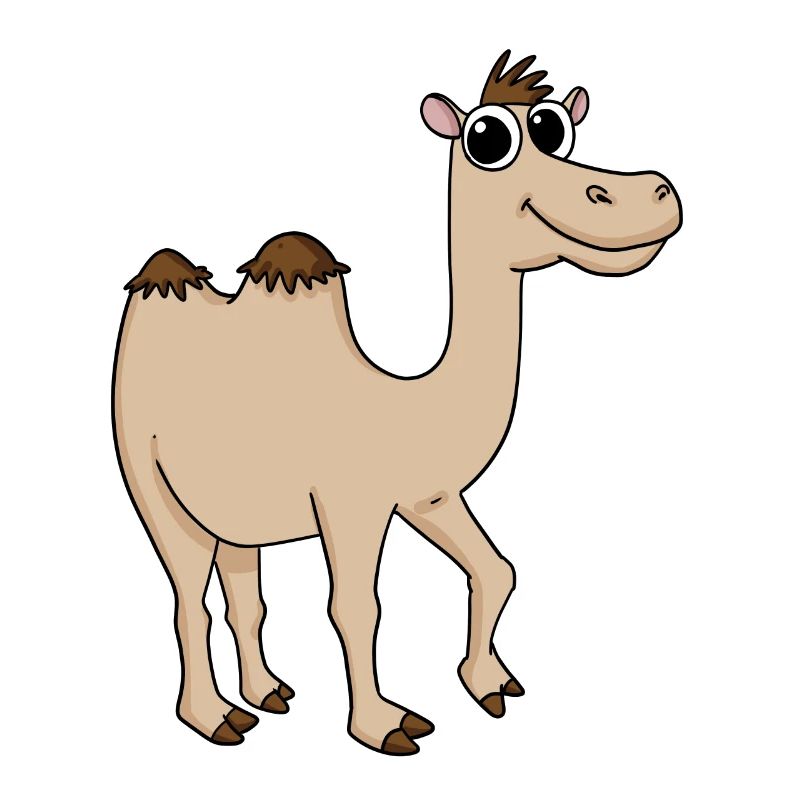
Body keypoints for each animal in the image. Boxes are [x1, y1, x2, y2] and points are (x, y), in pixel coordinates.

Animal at [112, 50, 682, 755]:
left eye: (558, 129)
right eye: (488, 138)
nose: (651, 189)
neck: (402, 401)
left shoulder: (425, 494)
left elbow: (497, 568)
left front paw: (490, 683)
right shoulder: (351, 501)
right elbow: (357, 606)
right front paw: (384, 725)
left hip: (233, 498)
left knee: (243, 584)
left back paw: (266, 694)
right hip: (148, 478)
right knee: (187, 592)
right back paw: (215, 718)